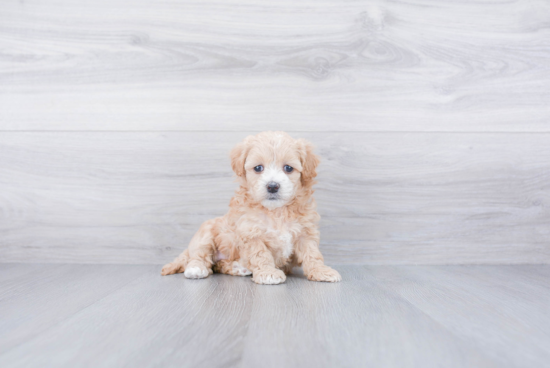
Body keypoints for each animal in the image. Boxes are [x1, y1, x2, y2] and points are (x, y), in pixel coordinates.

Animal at [161, 132, 340, 284]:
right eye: (258, 168)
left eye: (288, 168)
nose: (273, 186)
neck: (277, 211)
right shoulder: (251, 233)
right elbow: (260, 254)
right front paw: (268, 273)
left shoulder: (306, 232)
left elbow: (312, 254)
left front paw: (321, 271)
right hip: (206, 232)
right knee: (200, 255)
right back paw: (196, 269)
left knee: (218, 265)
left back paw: (238, 268)